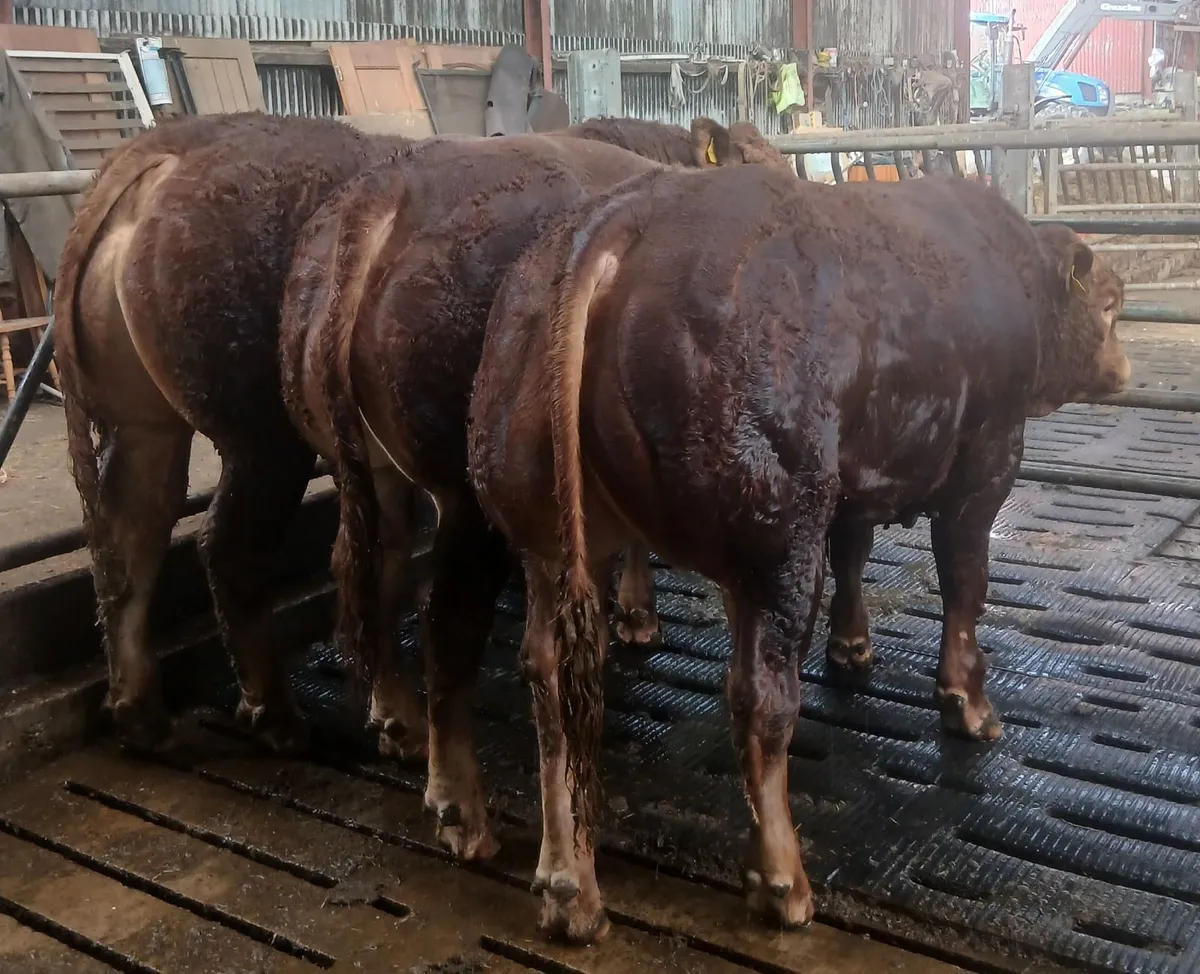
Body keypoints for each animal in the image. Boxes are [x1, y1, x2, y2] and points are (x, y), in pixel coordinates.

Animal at [279, 124, 794, 856]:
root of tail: (381, 194)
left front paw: (628, 611)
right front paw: (635, 612)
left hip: (366, 465)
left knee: (371, 570)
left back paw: (397, 720)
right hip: (464, 493)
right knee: (446, 621)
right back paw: (459, 807)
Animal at [466, 166, 1129, 943]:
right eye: (1111, 306)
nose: (1124, 367)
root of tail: (620, 222)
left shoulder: (853, 484)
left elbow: (855, 551)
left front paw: (852, 645)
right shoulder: (986, 458)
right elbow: (964, 579)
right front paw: (969, 704)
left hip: (551, 536)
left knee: (551, 678)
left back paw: (569, 886)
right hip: (780, 527)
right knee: (760, 697)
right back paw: (782, 881)